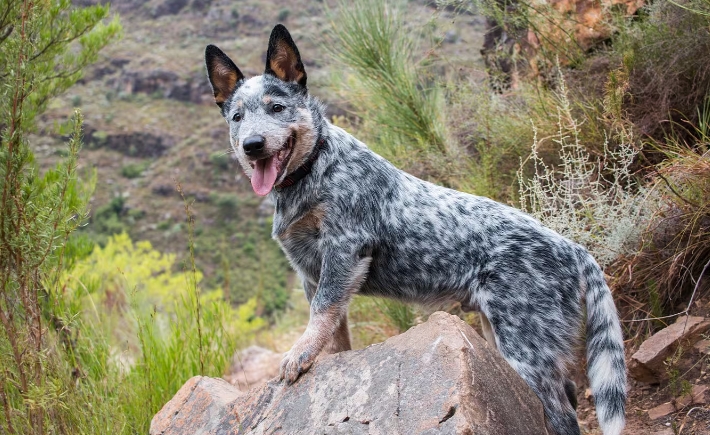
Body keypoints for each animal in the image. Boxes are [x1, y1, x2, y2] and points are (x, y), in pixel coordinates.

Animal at [206, 24, 628, 435]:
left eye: (277, 108)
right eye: (237, 117)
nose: (252, 144)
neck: (315, 169)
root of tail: (575, 249)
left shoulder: (344, 250)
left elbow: (321, 314)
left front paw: (298, 355)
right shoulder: (311, 273)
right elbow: (334, 334)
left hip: (527, 349)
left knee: (564, 414)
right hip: (501, 334)